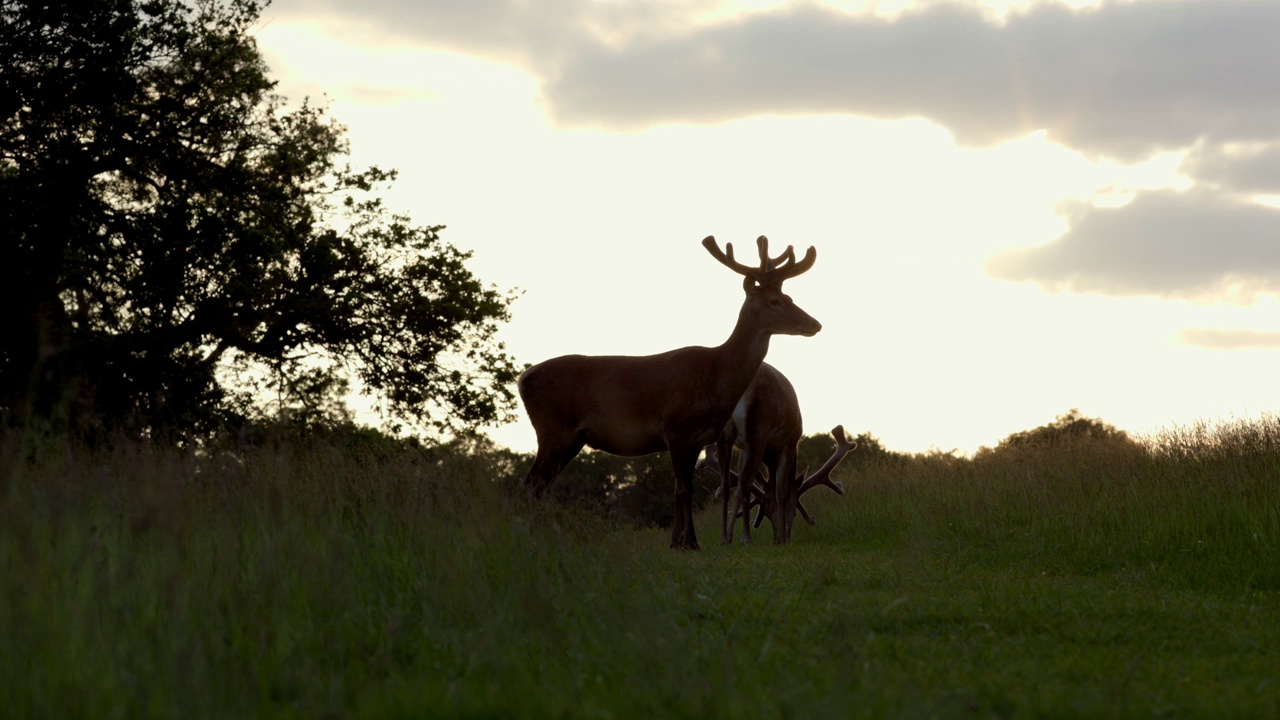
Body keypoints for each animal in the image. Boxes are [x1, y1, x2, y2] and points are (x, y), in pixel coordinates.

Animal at [519, 233, 819, 545]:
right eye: (774, 300)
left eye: (789, 297)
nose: (815, 324)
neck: (716, 375)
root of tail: (522, 378)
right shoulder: (675, 427)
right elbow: (685, 490)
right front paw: (690, 543)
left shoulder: (698, 438)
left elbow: (678, 490)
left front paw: (679, 542)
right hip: (554, 429)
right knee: (532, 483)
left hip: (571, 438)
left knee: (540, 484)